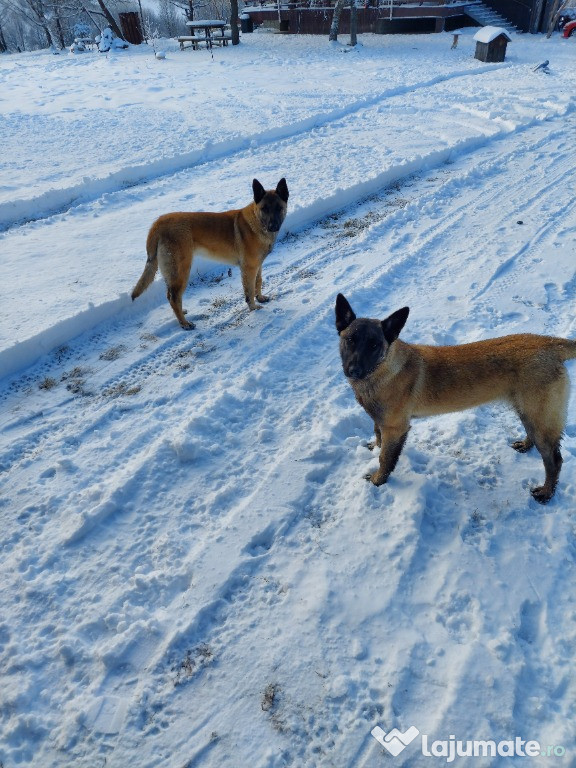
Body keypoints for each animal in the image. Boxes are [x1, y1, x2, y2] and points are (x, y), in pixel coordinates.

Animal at [133, 178, 290, 328]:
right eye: (264, 209)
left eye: (279, 208)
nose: (273, 226)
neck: (257, 222)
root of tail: (158, 223)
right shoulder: (249, 268)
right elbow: (249, 291)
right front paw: (253, 308)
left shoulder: (257, 265)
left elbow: (258, 281)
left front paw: (260, 298)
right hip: (181, 271)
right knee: (174, 297)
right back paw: (184, 323)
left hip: (173, 274)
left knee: (170, 295)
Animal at [332, 294, 576, 504]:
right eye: (351, 340)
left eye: (374, 345)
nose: (353, 370)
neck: (382, 369)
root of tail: (549, 343)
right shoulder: (381, 421)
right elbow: (377, 435)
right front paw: (374, 448)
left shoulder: (396, 428)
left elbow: (386, 459)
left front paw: (378, 481)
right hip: (527, 411)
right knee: (534, 437)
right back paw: (525, 445)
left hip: (540, 416)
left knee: (554, 461)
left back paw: (546, 493)